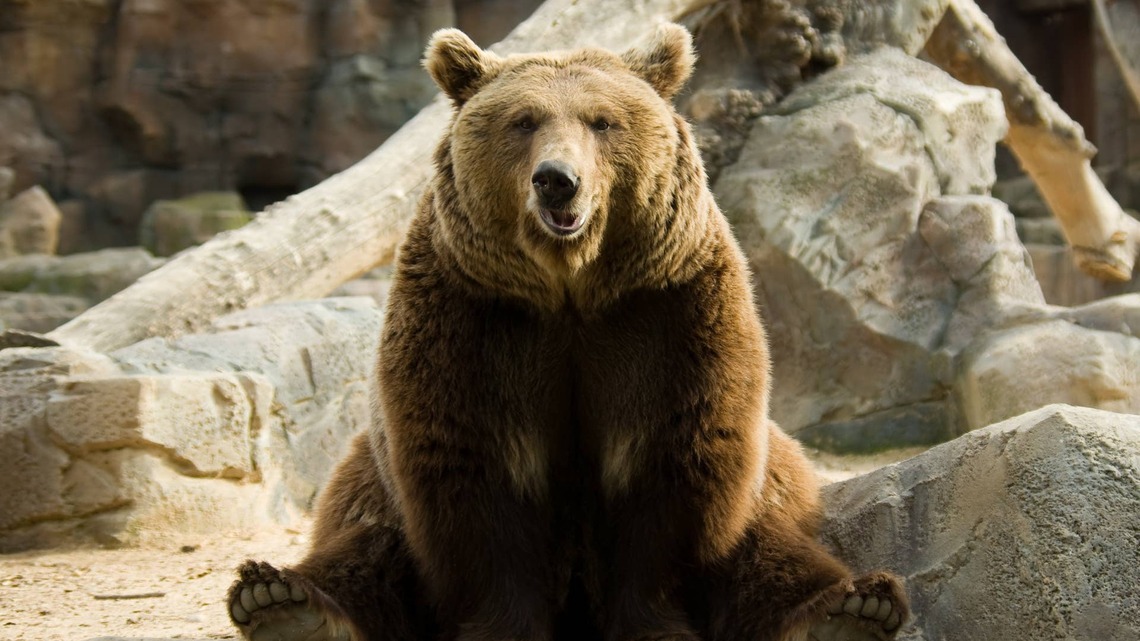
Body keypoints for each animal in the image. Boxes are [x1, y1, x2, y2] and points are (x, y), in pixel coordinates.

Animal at [226, 24, 909, 641]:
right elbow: (477, 473)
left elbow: (673, 461)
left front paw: (652, 625)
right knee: (364, 538)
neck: (571, 287)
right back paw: (284, 601)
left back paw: (850, 609)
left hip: (776, 474)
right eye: (524, 120)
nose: (557, 179)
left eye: (602, 121)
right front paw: (502, 627)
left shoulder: (668, 312)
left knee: (773, 539)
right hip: (370, 470)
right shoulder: (472, 318)